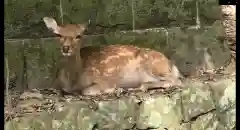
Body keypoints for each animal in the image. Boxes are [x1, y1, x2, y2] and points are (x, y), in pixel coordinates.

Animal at [43, 16, 183, 96]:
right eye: (58, 35)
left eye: (78, 35)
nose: (66, 48)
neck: (73, 81)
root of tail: (171, 64)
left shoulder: (104, 79)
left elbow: (87, 91)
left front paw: (115, 90)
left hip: (155, 67)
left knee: (177, 81)